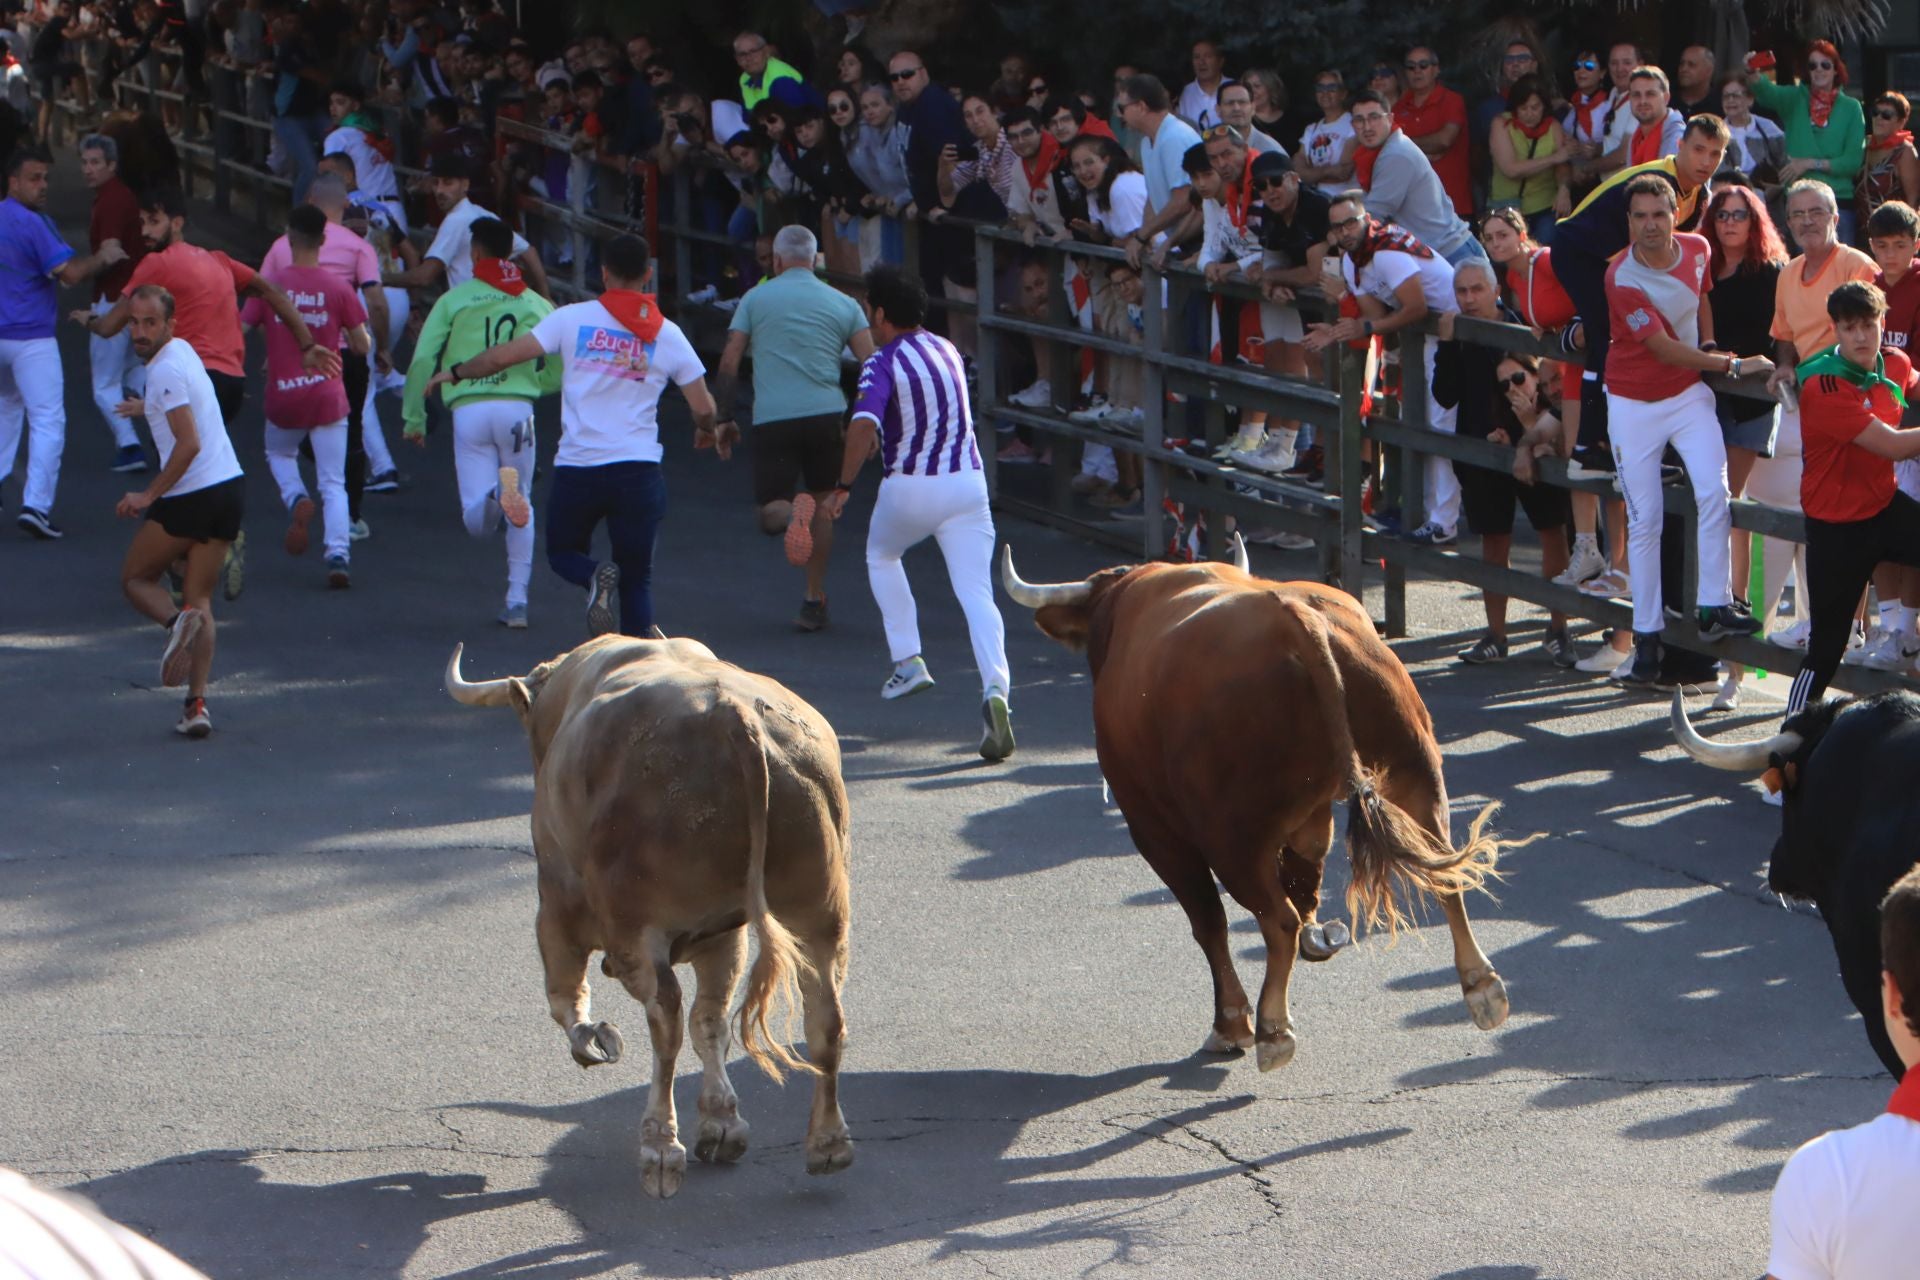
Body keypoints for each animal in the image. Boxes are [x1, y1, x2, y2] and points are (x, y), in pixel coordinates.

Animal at [449, 637, 856, 1197]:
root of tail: (734, 719)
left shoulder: (557, 900)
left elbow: (565, 995)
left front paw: (593, 1040)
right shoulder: (721, 936)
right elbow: (712, 1023)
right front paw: (722, 1123)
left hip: (637, 930)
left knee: (666, 1022)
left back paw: (660, 1149)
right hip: (817, 910)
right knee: (821, 1018)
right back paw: (827, 1144)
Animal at [998, 541, 1520, 1074]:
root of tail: (1295, 618)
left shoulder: (1155, 828)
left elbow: (1210, 921)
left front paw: (1231, 1023)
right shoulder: (1309, 820)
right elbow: (1305, 880)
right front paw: (1318, 939)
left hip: (1232, 839)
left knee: (1274, 920)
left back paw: (1271, 1030)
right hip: (1416, 778)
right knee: (1446, 875)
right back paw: (1482, 988)